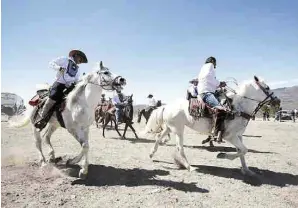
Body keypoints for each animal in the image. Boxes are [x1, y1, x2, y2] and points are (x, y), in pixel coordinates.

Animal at [141, 75, 280, 176]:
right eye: (267, 87)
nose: (277, 101)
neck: (238, 108)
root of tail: (166, 106)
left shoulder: (239, 136)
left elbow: (241, 152)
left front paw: (246, 170)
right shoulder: (230, 136)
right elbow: (244, 150)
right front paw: (222, 155)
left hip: (170, 127)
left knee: (158, 137)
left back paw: (151, 155)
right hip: (178, 129)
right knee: (179, 148)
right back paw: (190, 167)